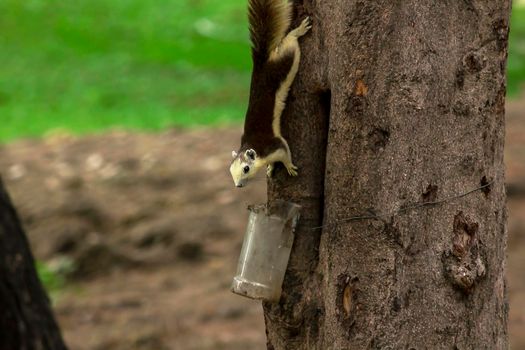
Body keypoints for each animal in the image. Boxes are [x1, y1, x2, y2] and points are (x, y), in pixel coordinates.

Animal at [229, 0, 312, 189]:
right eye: (230, 171)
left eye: (246, 169)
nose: (238, 186)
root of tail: (260, 64)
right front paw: (270, 168)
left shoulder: (273, 145)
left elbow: (285, 152)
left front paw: (289, 167)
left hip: (286, 61)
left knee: (290, 43)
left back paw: (298, 30)